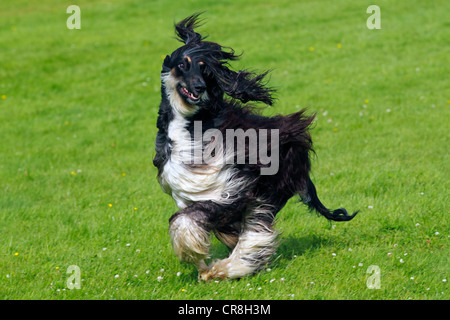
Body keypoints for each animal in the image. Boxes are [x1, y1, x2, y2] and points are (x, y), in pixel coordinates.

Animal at [153, 14, 356, 280]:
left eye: (204, 68)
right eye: (183, 65)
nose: (199, 88)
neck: (190, 125)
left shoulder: (231, 188)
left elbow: (185, 219)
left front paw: (197, 255)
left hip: (270, 185)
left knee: (254, 228)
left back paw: (229, 267)